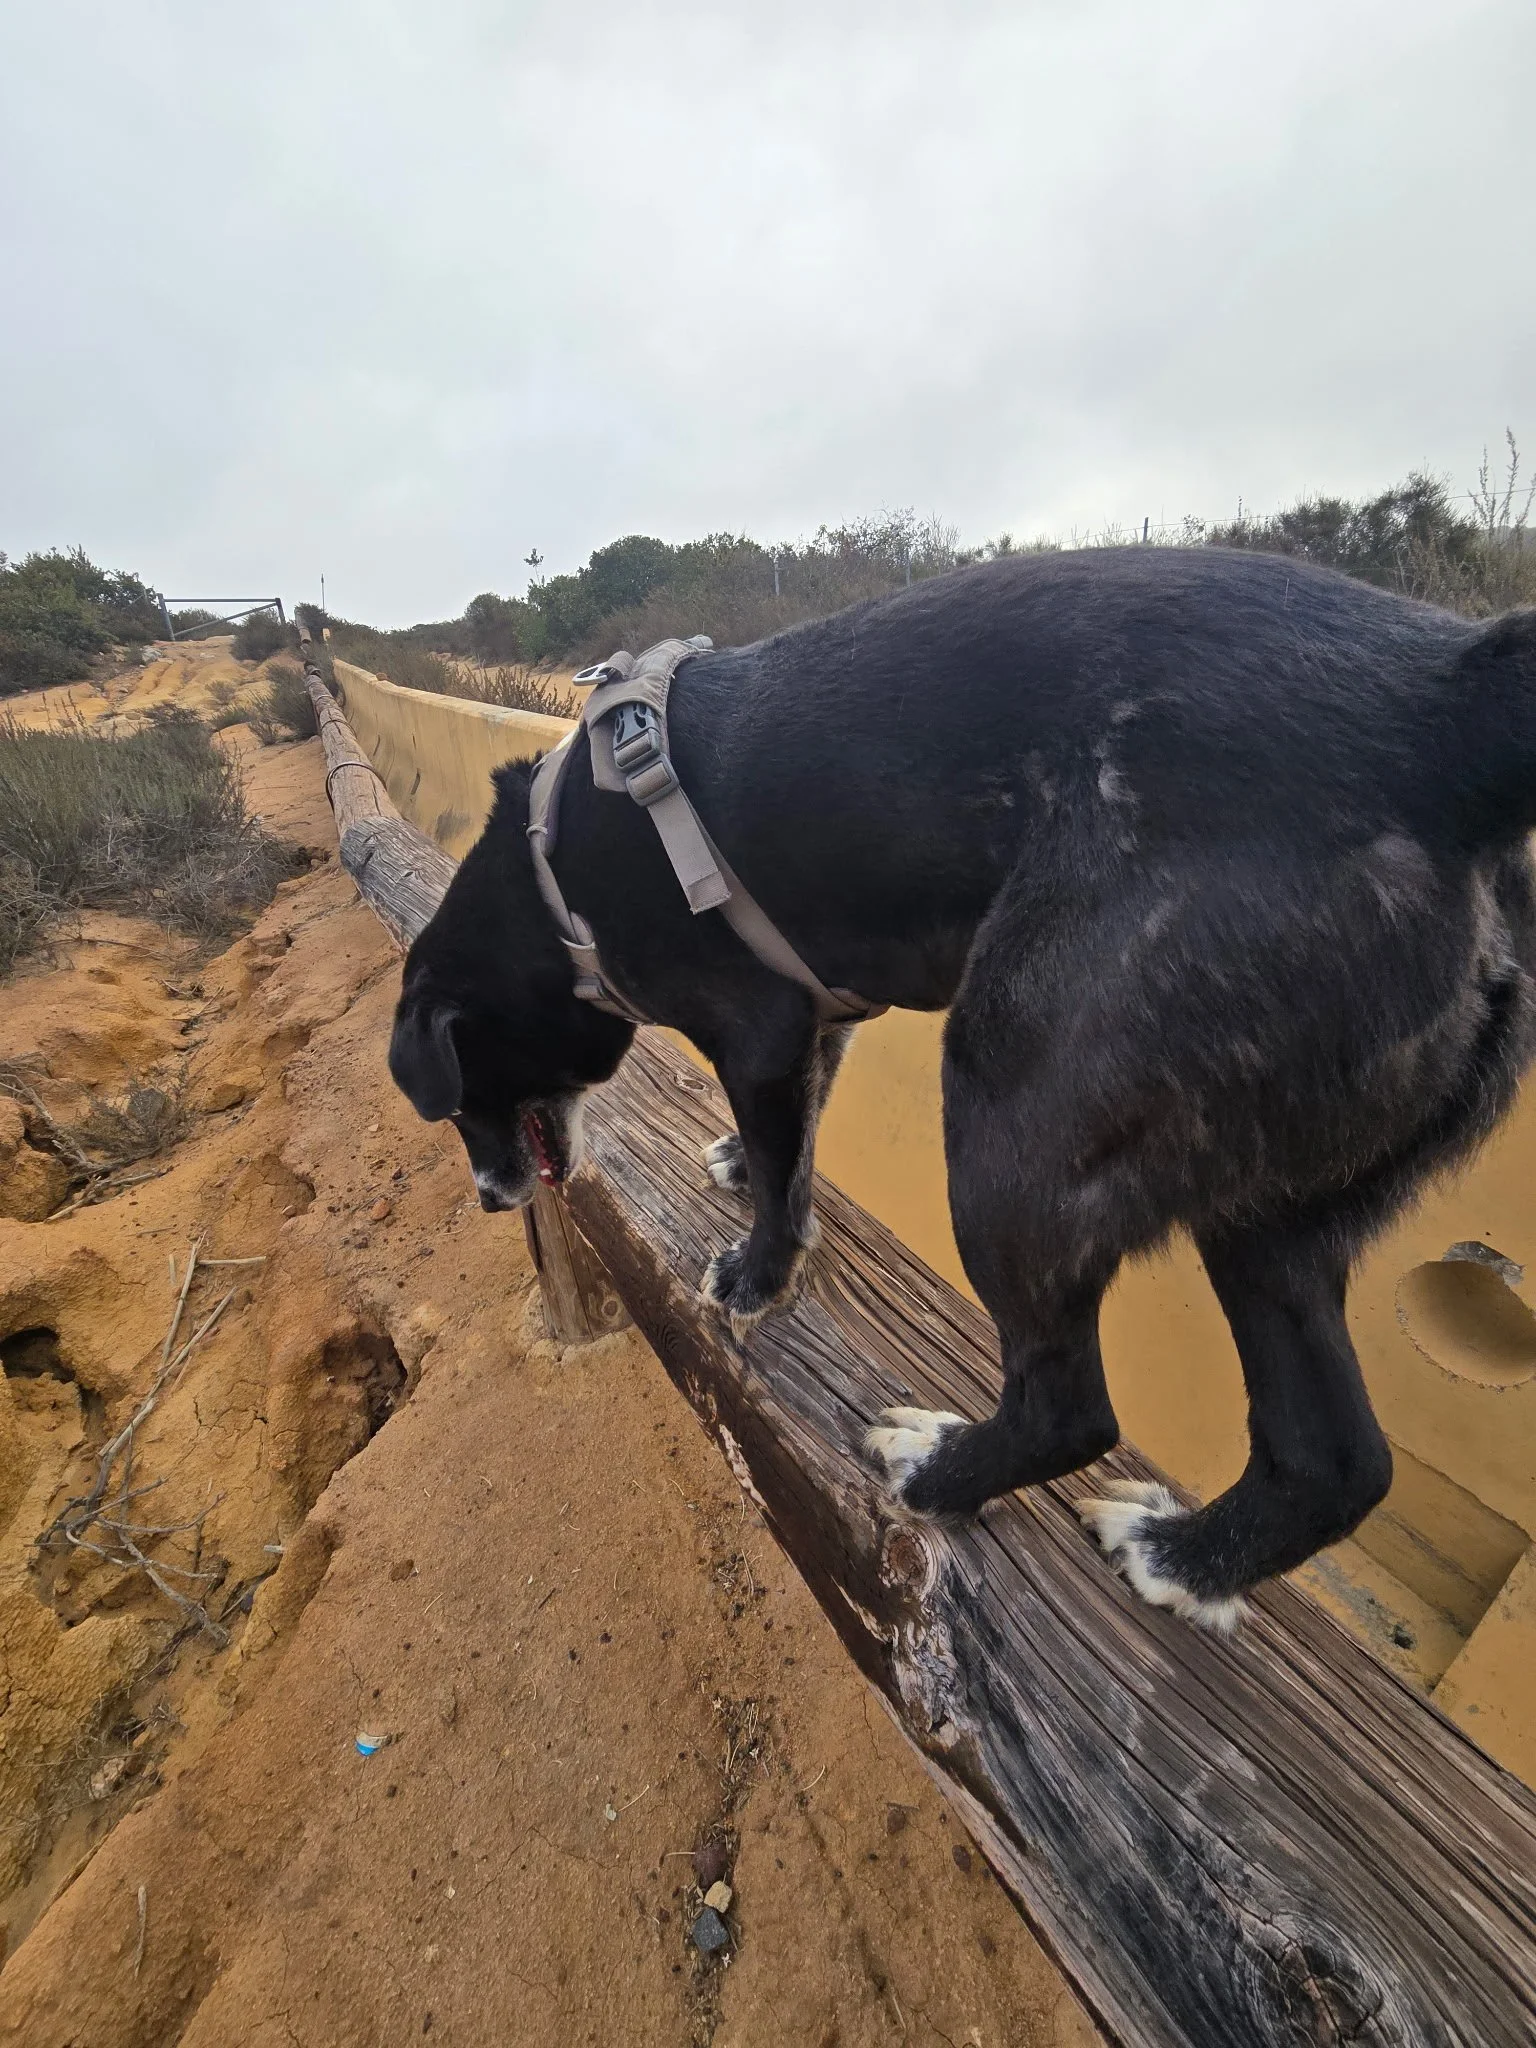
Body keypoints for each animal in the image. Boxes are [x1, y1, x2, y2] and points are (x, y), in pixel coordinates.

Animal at [389, 548, 1536, 1630]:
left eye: (459, 1100)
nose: (490, 1197)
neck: (552, 879)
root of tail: (1443, 713)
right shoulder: (817, 1023)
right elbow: (792, 1138)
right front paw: (739, 1165)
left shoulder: (759, 1031)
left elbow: (780, 1174)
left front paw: (759, 1272)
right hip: (1275, 1213)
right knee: (1335, 1459)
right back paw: (1185, 1562)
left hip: (1016, 1102)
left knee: (1070, 1406)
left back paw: (939, 1472)